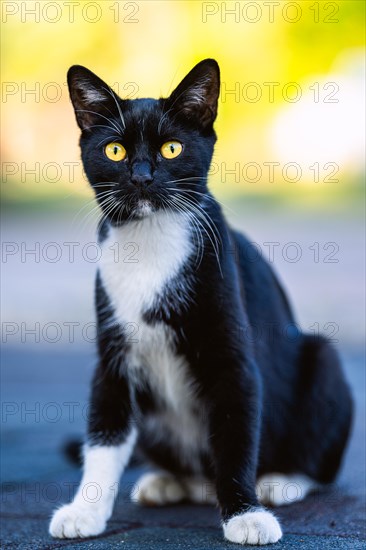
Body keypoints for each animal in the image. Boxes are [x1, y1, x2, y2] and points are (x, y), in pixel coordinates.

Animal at [50, 61, 354, 548]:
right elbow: (103, 433)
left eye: (172, 148)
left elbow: (235, 435)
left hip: (321, 363)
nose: (141, 176)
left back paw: (283, 481)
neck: (151, 244)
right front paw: (85, 510)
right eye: (114, 150)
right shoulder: (112, 356)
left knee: (319, 459)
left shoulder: (232, 355)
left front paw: (247, 515)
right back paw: (167, 481)